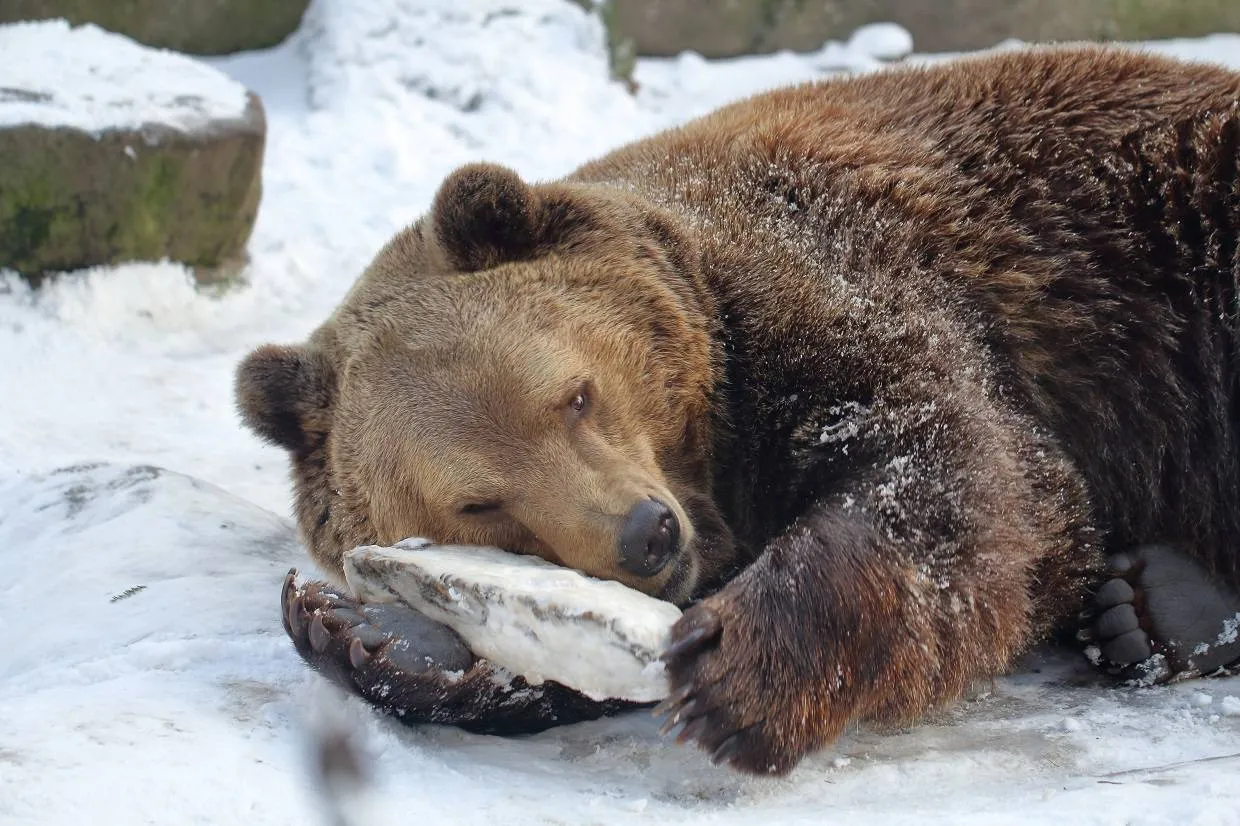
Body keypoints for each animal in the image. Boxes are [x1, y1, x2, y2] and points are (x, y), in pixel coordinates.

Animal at [234, 44, 1240, 773]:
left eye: (574, 395)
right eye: (479, 501)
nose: (643, 535)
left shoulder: (845, 280)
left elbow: (963, 478)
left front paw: (741, 668)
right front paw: (376, 635)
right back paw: (1153, 605)